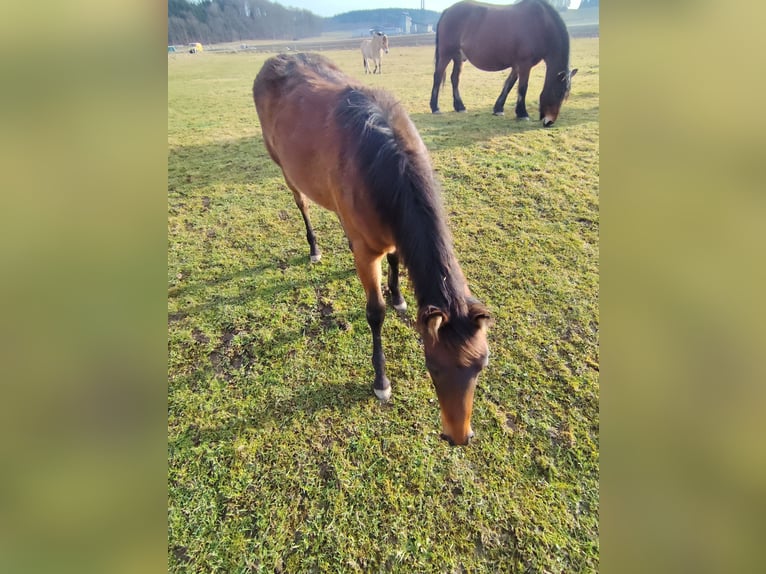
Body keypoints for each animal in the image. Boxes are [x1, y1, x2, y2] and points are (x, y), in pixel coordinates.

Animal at [253, 53, 491, 445]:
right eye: (433, 366)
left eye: (481, 364)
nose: (458, 436)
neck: (381, 165)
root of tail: (275, 59)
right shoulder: (367, 252)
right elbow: (375, 313)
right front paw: (381, 381)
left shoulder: (391, 232)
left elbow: (396, 260)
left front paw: (399, 296)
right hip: (282, 166)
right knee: (301, 201)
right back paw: (314, 246)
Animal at [429, 0, 578, 127]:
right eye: (558, 93)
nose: (549, 121)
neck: (541, 24)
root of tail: (448, 11)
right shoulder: (525, 64)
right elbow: (522, 87)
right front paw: (522, 114)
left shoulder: (517, 65)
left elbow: (509, 84)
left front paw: (498, 109)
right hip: (446, 54)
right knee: (437, 76)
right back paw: (435, 107)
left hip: (458, 58)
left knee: (455, 78)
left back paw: (459, 107)